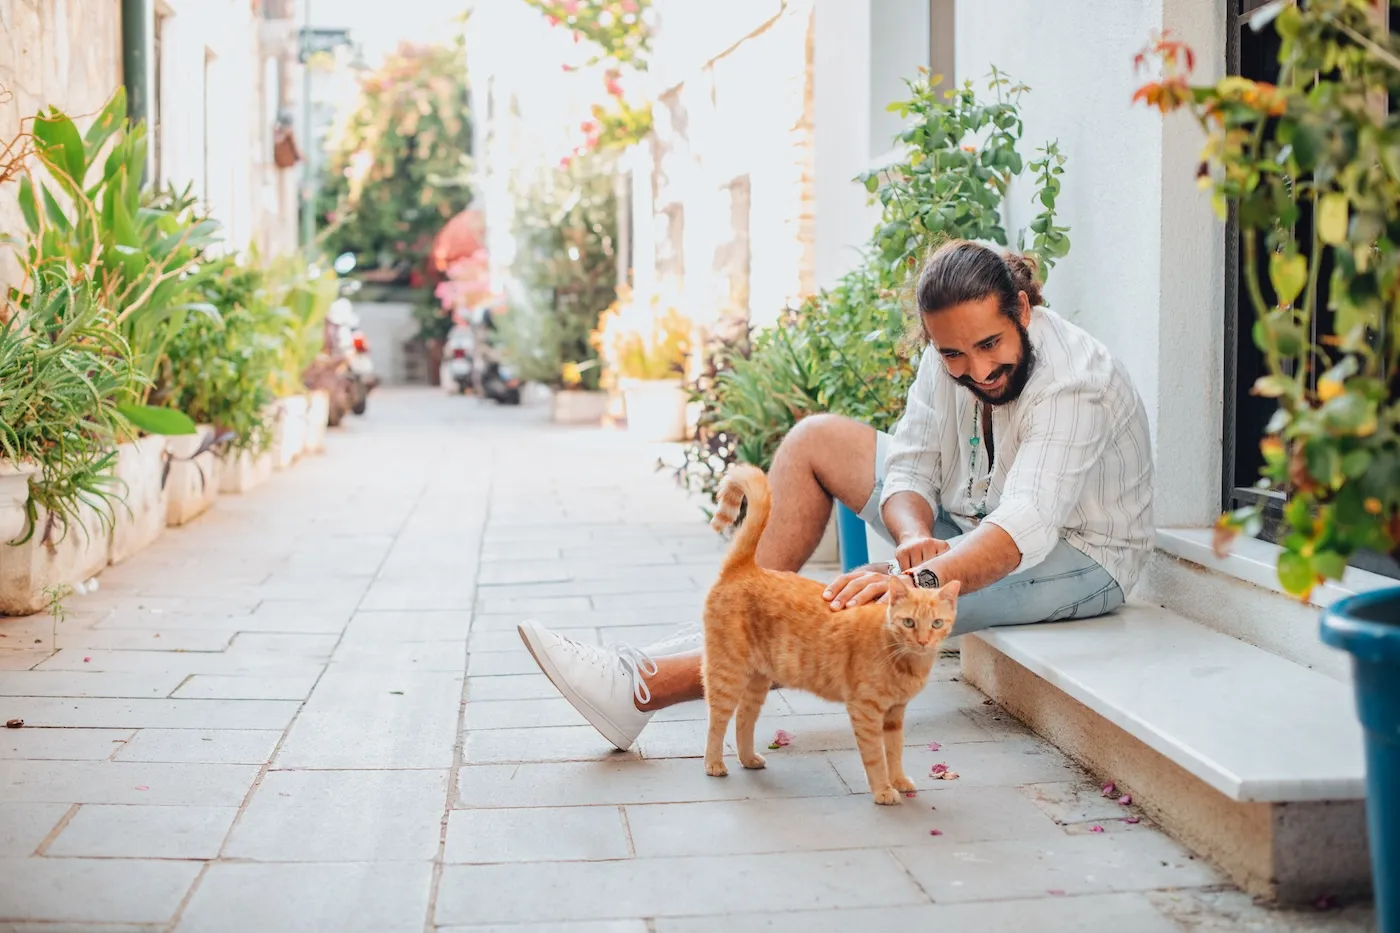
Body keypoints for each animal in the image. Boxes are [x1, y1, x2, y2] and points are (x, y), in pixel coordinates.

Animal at [700, 462, 963, 801]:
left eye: (936, 624)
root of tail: (746, 566)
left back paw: (748, 759)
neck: (906, 660)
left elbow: (894, 752)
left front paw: (899, 781)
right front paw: (883, 790)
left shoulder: (894, 715)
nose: (922, 640)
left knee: (744, 719)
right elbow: (875, 756)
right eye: (908, 622)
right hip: (727, 674)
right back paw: (714, 764)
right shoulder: (865, 711)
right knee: (717, 721)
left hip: (757, 681)